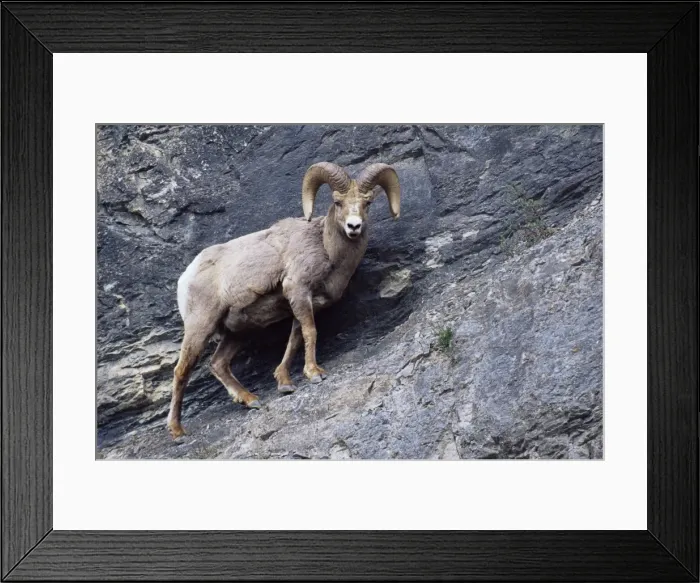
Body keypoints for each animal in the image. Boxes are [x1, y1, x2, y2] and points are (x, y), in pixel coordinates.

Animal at [167, 162, 401, 438]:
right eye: (338, 202)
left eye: (367, 203)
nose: (354, 227)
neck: (327, 249)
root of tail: (187, 277)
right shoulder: (298, 290)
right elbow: (310, 332)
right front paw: (314, 373)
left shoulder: (304, 303)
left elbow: (295, 339)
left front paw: (285, 383)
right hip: (200, 327)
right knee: (182, 370)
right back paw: (177, 430)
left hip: (238, 333)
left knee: (218, 364)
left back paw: (251, 400)